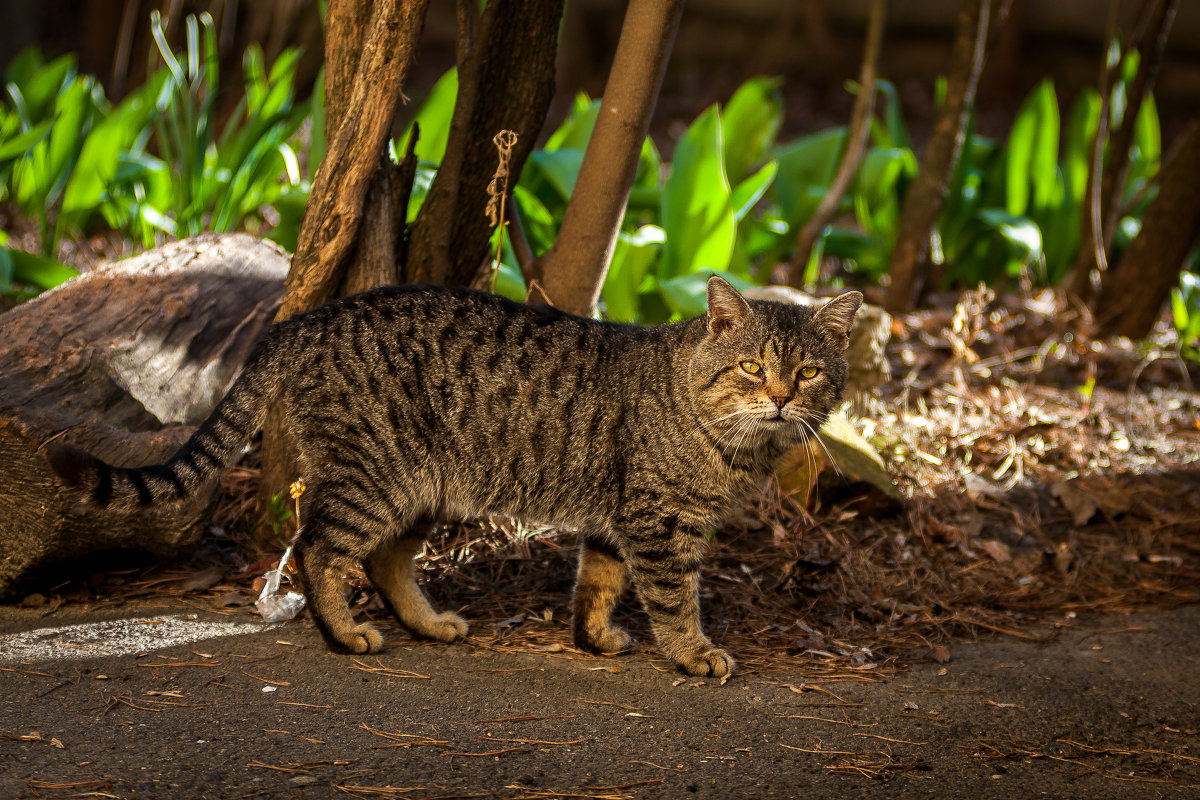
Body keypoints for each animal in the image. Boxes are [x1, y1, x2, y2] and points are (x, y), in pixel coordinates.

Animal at [51, 275, 864, 676]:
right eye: (753, 368)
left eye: (810, 372)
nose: (781, 397)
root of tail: (304, 319)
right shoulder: (660, 523)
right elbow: (674, 598)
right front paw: (693, 654)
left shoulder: (617, 518)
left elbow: (598, 584)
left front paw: (595, 638)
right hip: (375, 477)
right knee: (319, 548)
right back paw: (343, 635)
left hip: (418, 490)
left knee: (383, 560)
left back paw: (427, 622)